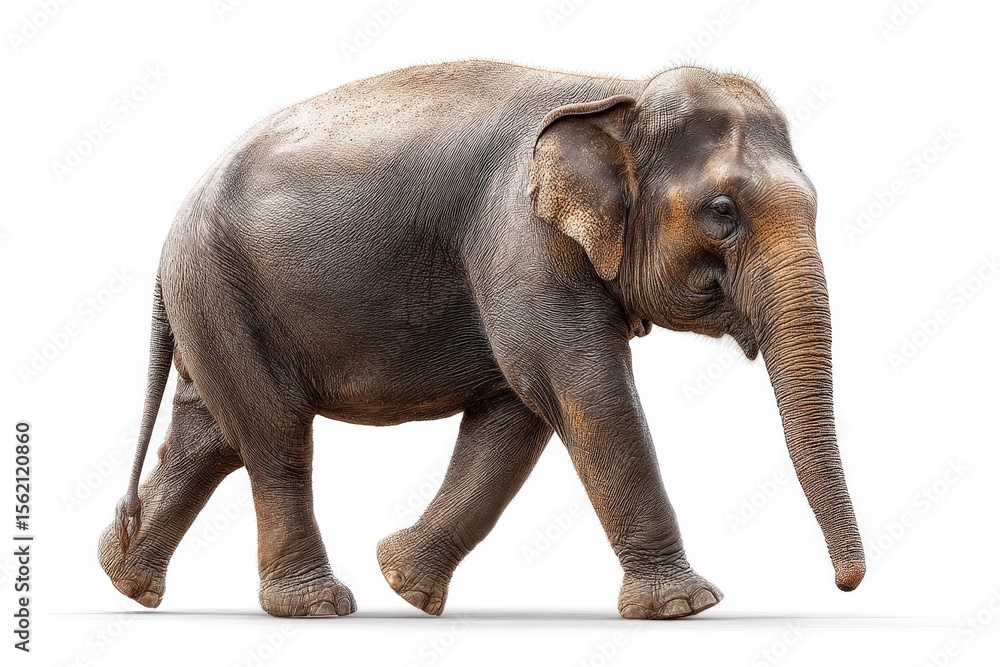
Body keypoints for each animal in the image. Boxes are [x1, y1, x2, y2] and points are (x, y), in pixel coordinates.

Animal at [99, 59, 865, 619]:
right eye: (722, 211)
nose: (847, 582)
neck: (615, 96)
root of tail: (172, 230)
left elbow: (516, 413)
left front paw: (406, 583)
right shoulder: (522, 242)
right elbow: (586, 394)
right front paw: (686, 606)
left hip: (214, 304)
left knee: (210, 435)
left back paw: (124, 578)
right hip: (222, 290)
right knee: (273, 437)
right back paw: (316, 606)